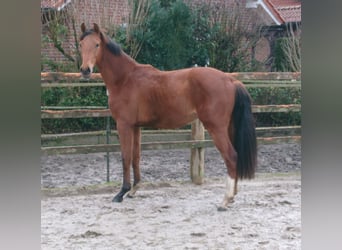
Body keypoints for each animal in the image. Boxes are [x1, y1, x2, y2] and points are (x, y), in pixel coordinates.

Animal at [80, 23, 256, 211]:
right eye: (81, 44)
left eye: (97, 44)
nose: (85, 70)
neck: (125, 78)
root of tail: (231, 80)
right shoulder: (136, 127)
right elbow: (136, 157)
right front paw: (134, 190)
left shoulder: (124, 125)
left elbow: (125, 157)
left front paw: (121, 193)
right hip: (229, 127)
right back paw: (232, 196)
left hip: (216, 128)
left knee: (231, 156)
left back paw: (225, 200)